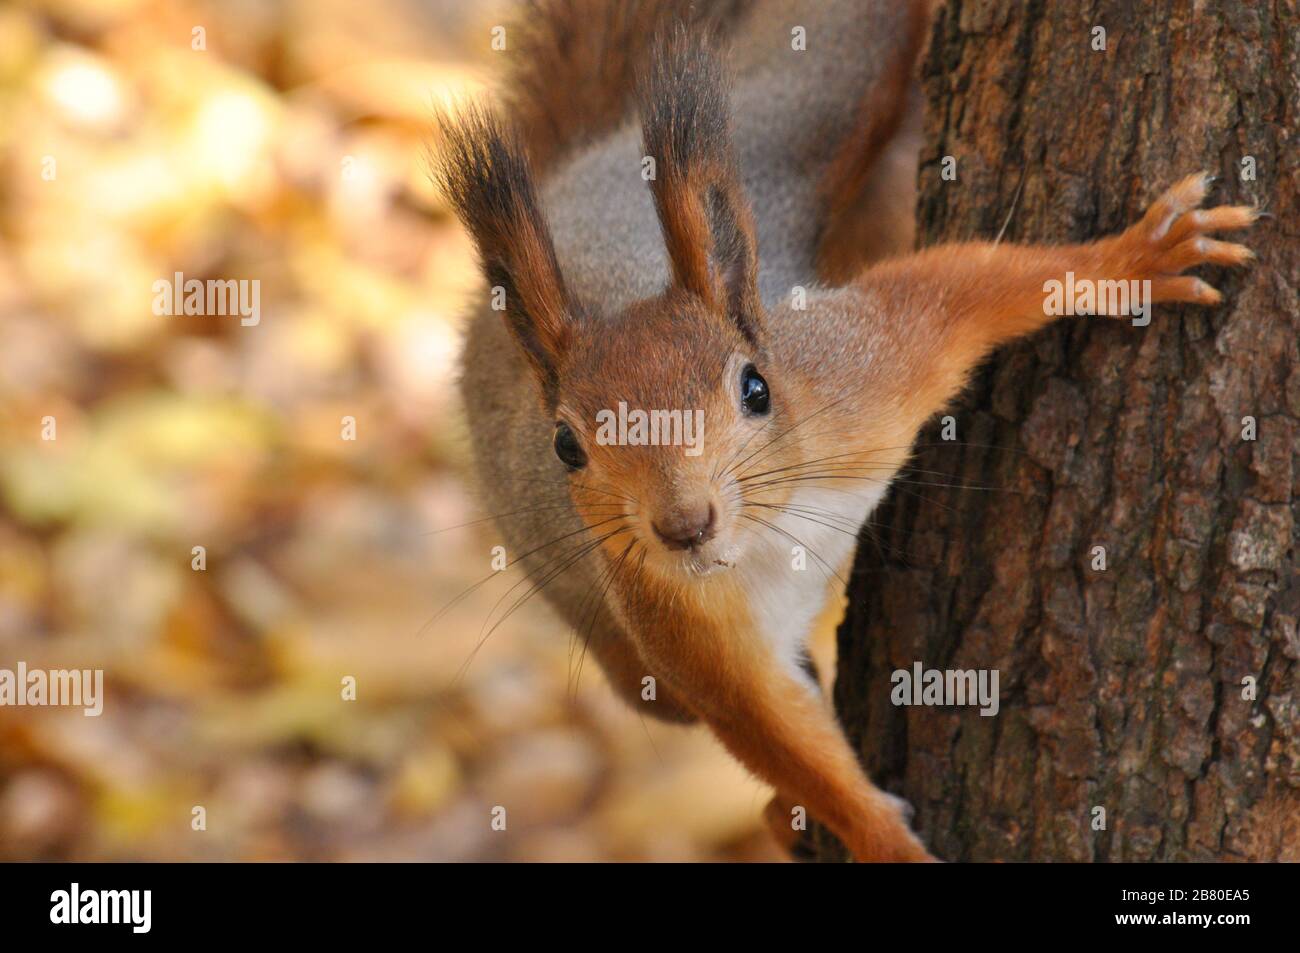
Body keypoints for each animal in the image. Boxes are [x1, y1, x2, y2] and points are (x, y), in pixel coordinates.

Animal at [434, 1, 1248, 863]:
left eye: (757, 388)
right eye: (566, 446)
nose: (684, 525)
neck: (765, 534)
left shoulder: (867, 369)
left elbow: (961, 289)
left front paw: (1138, 257)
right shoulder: (682, 632)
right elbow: (785, 743)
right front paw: (882, 840)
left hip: (811, 92)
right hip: (624, 657)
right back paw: (781, 817)